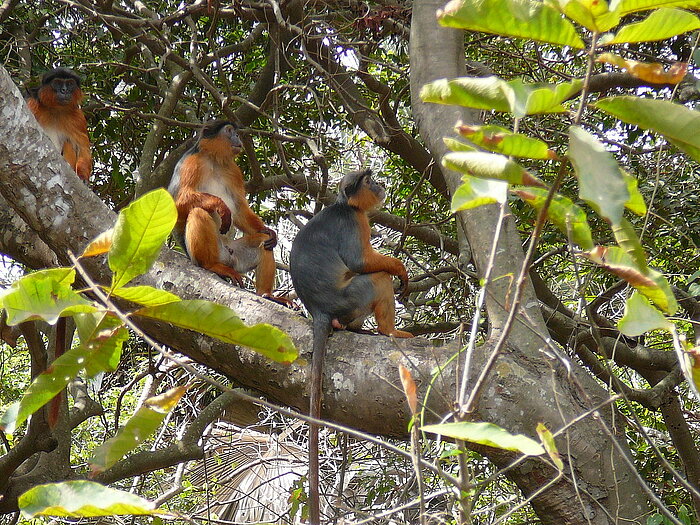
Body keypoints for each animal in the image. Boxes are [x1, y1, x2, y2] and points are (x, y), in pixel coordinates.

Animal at [167, 119, 284, 298]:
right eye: (229, 131)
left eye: (236, 132)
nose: (237, 136)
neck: (215, 161)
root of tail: (226, 258)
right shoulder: (190, 161)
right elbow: (178, 200)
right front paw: (220, 205)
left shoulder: (233, 170)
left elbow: (239, 208)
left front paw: (268, 230)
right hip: (208, 253)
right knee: (198, 212)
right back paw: (211, 265)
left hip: (236, 256)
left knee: (264, 241)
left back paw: (266, 294)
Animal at [288, 169, 412, 524]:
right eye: (368, 181)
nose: (380, 185)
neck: (345, 206)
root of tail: (319, 310)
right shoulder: (354, 222)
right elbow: (361, 261)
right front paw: (399, 269)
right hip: (351, 298)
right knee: (378, 278)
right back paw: (388, 331)